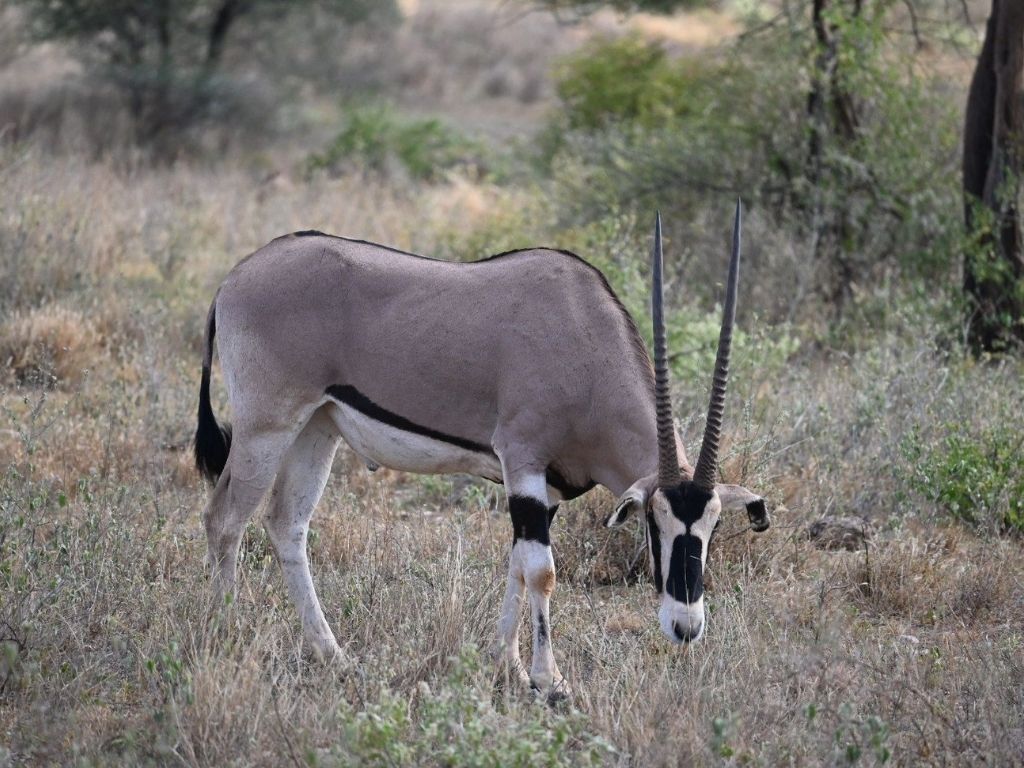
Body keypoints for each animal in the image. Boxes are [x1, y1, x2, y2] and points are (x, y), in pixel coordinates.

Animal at [194, 203, 770, 698]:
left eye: (714, 525)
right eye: (655, 521)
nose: (685, 626)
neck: (584, 343)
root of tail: (234, 279)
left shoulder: (545, 490)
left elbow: (516, 567)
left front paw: (506, 667)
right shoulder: (523, 460)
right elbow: (542, 572)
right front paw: (549, 682)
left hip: (316, 427)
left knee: (286, 524)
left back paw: (333, 656)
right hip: (267, 426)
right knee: (225, 519)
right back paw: (226, 635)